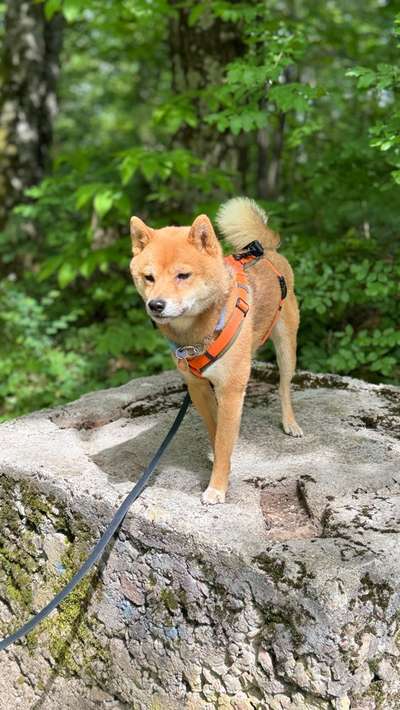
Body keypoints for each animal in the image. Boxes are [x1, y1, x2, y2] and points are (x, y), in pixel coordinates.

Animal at [130, 197, 302, 504]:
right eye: (148, 277)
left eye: (183, 275)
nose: (156, 305)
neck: (197, 334)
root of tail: (267, 250)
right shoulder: (198, 387)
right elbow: (216, 432)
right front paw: (218, 462)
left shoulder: (231, 390)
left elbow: (224, 440)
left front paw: (218, 486)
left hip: (286, 346)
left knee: (284, 387)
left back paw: (290, 422)